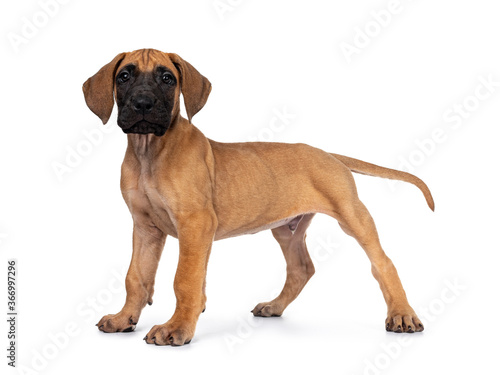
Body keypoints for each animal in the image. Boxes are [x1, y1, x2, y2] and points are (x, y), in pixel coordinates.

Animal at [82, 49, 434, 346]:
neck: (150, 152)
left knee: (383, 263)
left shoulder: (194, 223)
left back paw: (402, 315)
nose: (142, 104)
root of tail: (328, 155)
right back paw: (274, 306)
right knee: (302, 268)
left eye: (167, 78)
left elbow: (185, 279)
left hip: (351, 215)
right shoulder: (145, 228)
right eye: (123, 76)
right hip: (287, 229)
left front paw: (177, 328)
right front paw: (125, 318)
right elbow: (136, 277)